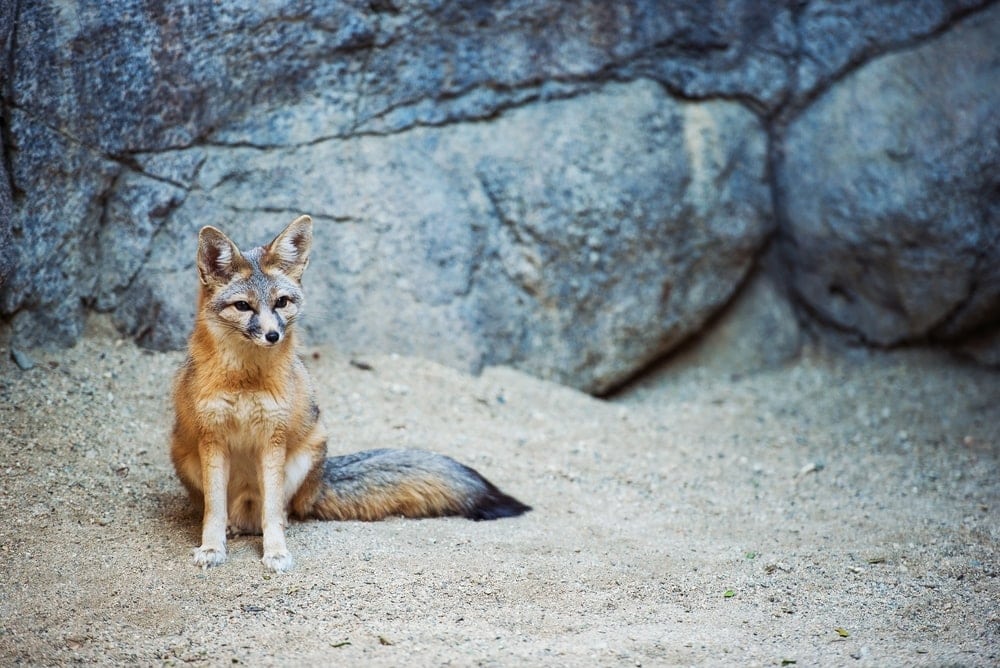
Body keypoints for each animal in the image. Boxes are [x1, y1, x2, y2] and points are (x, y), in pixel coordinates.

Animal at [170, 215, 530, 572]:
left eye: (281, 302)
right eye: (243, 306)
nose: (273, 335)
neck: (245, 380)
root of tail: (320, 480)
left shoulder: (272, 439)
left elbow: (271, 511)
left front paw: (275, 552)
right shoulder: (212, 438)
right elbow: (214, 510)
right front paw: (211, 548)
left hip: (303, 456)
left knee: (279, 512)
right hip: (186, 456)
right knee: (228, 512)